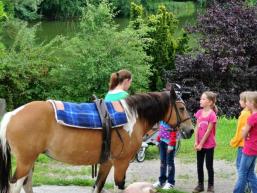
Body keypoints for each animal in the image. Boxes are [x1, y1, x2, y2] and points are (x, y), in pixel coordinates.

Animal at [0, 88, 192, 192]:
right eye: (182, 108)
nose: (190, 130)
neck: (132, 117)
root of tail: (12, 115)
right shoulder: (121, 163)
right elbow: (118, 187)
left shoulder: (107, 162)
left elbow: (98, 186)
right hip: (25, 162)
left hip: (29, 161)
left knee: (27, 184)